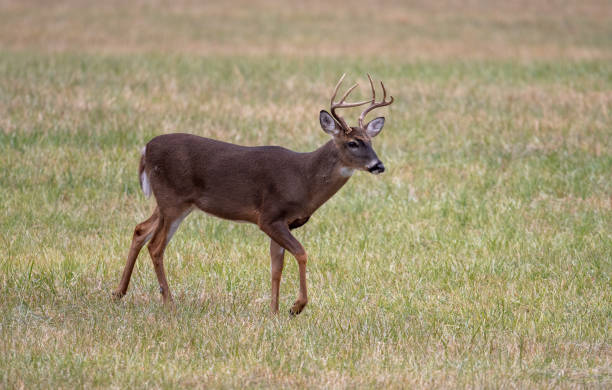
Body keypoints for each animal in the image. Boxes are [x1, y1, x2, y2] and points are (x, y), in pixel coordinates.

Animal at [112, 74, 394, 316]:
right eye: (353, 143)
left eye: (371, 141)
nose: (378, 165)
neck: (304, 179)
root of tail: (146, 148)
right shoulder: (269, 216)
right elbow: (301, 253)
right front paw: (296, 307)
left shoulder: (284, 222)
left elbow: (276, 268)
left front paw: (274, 311)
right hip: (173, 200)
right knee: (156, 246)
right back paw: (169, 302)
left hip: (168, 202)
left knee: (140, 229)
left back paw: (119, 292)